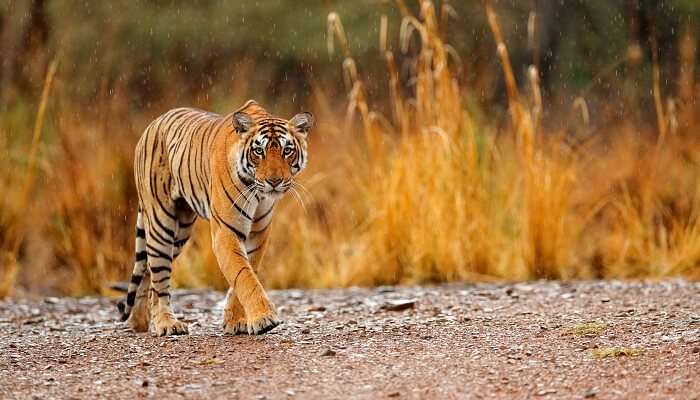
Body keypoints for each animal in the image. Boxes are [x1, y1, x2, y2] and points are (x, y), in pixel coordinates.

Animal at [116, 99, 314, 334]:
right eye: (259, 151)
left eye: (287, 150)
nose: (274, 181)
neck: (257, 193)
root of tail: (152, 124)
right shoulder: (226, 232)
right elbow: (243, 275)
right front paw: (264, 318)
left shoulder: (258, 233)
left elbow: (246, 272)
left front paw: (235, 321)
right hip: (160, 223)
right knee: (159, 279)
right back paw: (167, 323)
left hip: (180, 231)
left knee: (148, 270)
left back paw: (139, 322)